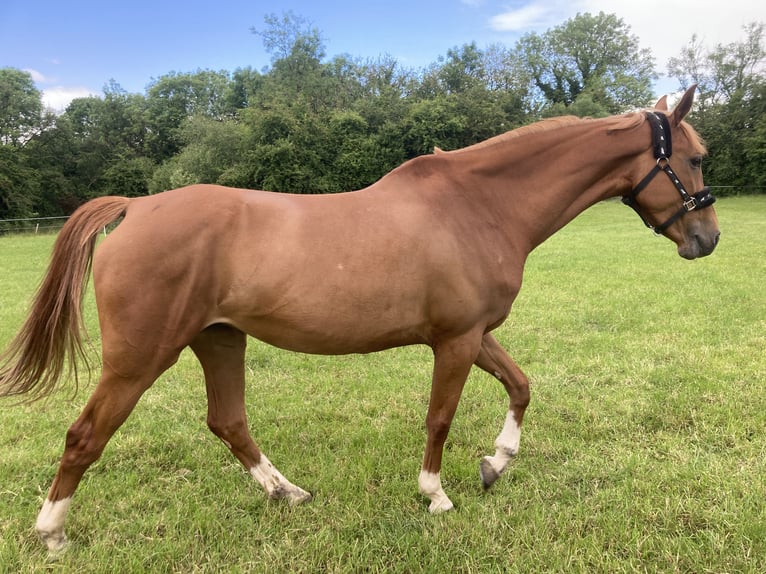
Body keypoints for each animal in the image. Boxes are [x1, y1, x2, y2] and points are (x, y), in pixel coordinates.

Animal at [0, 84, 720, 552]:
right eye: (694, 157)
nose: (707, 239)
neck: (479, 205)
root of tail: (136, 208)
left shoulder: (474, 334)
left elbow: (521, 387)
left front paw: (495, 464)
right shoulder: (456, 341)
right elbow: (440, 417)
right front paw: (436, 494)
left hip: (219, 341)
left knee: (228, 422)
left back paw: (286, 493)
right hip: (139, 359)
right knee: (85, 436)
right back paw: (51, 532)